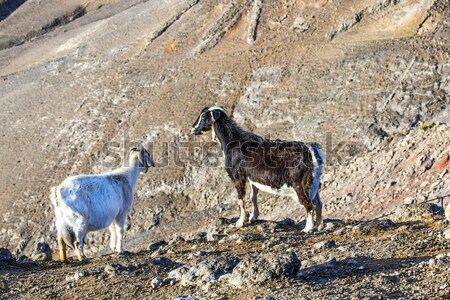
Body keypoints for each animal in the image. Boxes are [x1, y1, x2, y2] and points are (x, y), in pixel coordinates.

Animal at [190, 106, 324, 232]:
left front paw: (240, 222)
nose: (192, 129)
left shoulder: (238, 177)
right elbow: (252, 196)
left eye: (203, 117)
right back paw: (318, 226)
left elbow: (241, 199)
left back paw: (307, 228)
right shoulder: (252, 178)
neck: (233, 142)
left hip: (299, 185)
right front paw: (253, 217)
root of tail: (310, 150)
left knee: (309, 204)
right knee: (318, 204)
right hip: (314, 183)